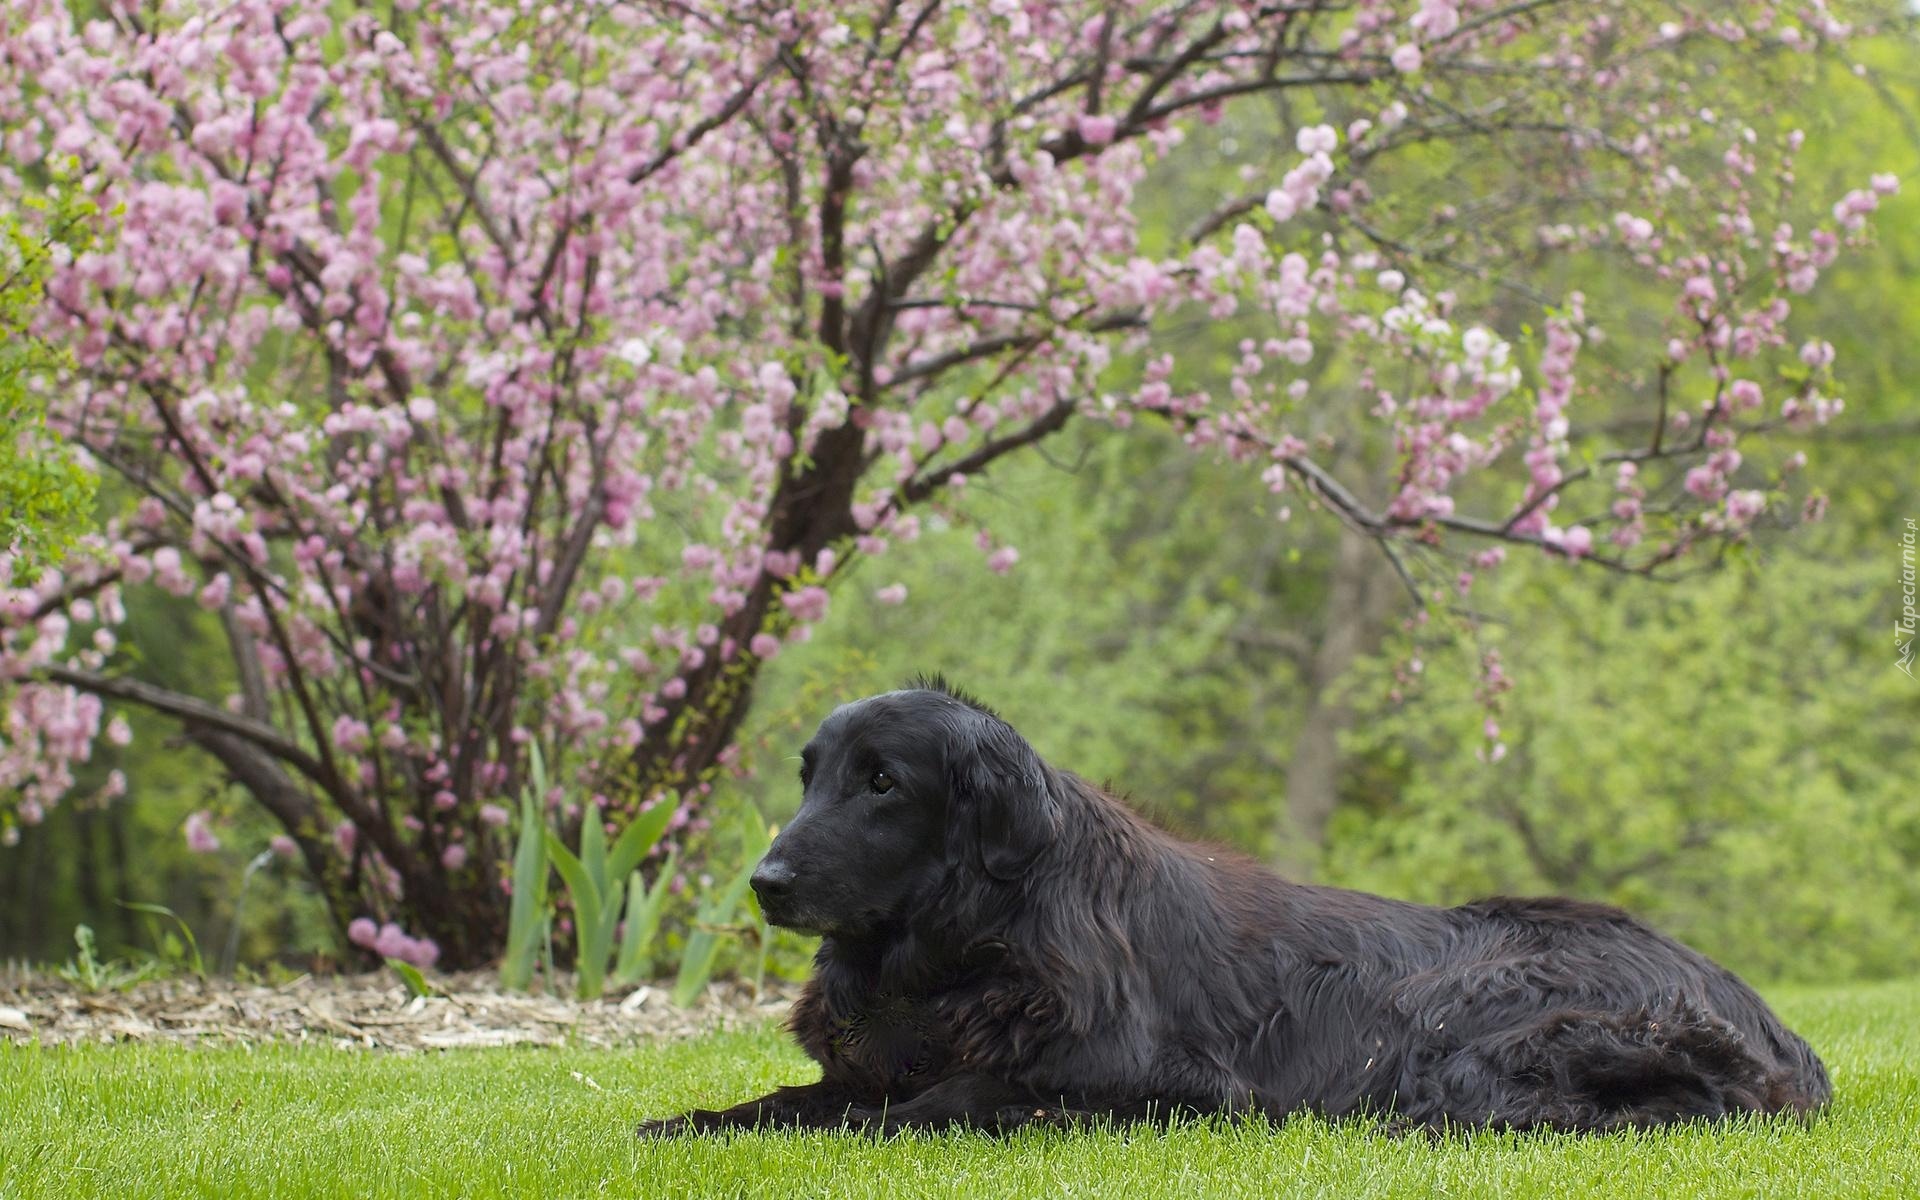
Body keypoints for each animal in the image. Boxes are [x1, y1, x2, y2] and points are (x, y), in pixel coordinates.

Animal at [633, 679, 1827, 1136]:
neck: (965, 952)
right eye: (811, 777)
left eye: (883, 783)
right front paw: (690, 1122)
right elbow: (787, 1099)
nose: (765, 883)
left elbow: (947, 1099)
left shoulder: (1172, 1083)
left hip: (1467, 1027)